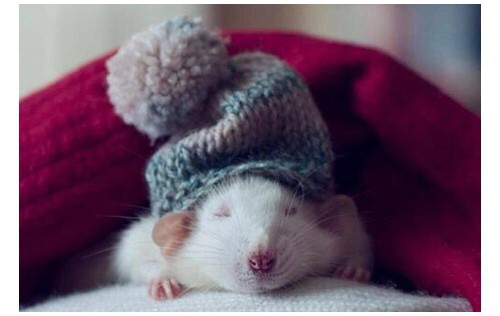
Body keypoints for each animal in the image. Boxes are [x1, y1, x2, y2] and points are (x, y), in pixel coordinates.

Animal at [112, 177, 372, 300]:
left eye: (291, 211)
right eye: (220, 214)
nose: (261, 258)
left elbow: (358, 238)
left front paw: (353, 269)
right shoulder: (141, 238)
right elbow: (130, 255)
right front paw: (162, 279)